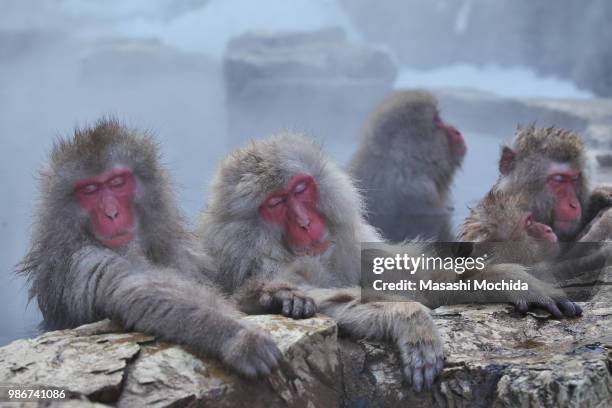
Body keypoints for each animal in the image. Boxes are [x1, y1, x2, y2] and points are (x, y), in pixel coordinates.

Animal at [18, 119, 282, 378]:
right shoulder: (83, 260)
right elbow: (137, 289)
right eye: (89, 190)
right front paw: (239, 336)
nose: (111, 213)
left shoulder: (186, 250)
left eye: (117, 182)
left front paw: (267, 296)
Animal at [197, 135, 584, 392]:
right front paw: (412, 322)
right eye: (275, 203)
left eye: (301, 190)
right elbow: (324, 302)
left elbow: (411, 281)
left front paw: (512, 280)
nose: (306, 223)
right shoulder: (254, 262)